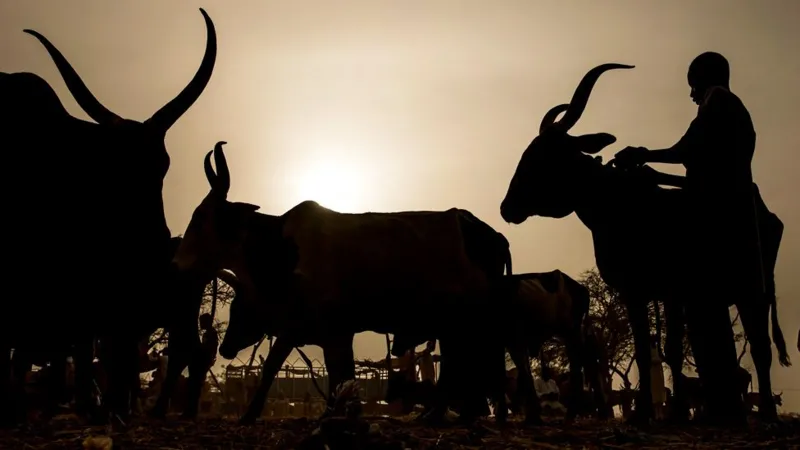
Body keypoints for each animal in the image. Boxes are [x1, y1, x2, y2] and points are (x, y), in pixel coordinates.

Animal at [499, 63, 790, 423]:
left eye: (543, 156)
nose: (506, 207)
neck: (622, 206)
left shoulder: (668, 290)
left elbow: (669, 349)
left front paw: (670, 413)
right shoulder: (643, 292)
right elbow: (649, 348)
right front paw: (652, 414)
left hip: (752, 289)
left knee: (761, 346)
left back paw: (766, 413)